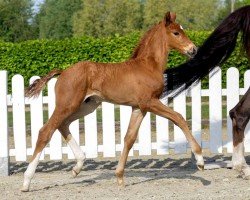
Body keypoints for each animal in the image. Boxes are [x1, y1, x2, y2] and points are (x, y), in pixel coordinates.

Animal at [22, 11, 203, 191]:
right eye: (176, 33)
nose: (193, 49)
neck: (148, 66)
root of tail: (63, 72)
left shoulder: (139, 108)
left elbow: (129, 138)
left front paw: (120, 177)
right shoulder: (149, 102)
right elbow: (179, 117)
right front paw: (200, 160)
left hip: (86, 106)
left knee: (62, 125)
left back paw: (77, 167)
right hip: (67, 105)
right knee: (45, 131)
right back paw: (26, 181)